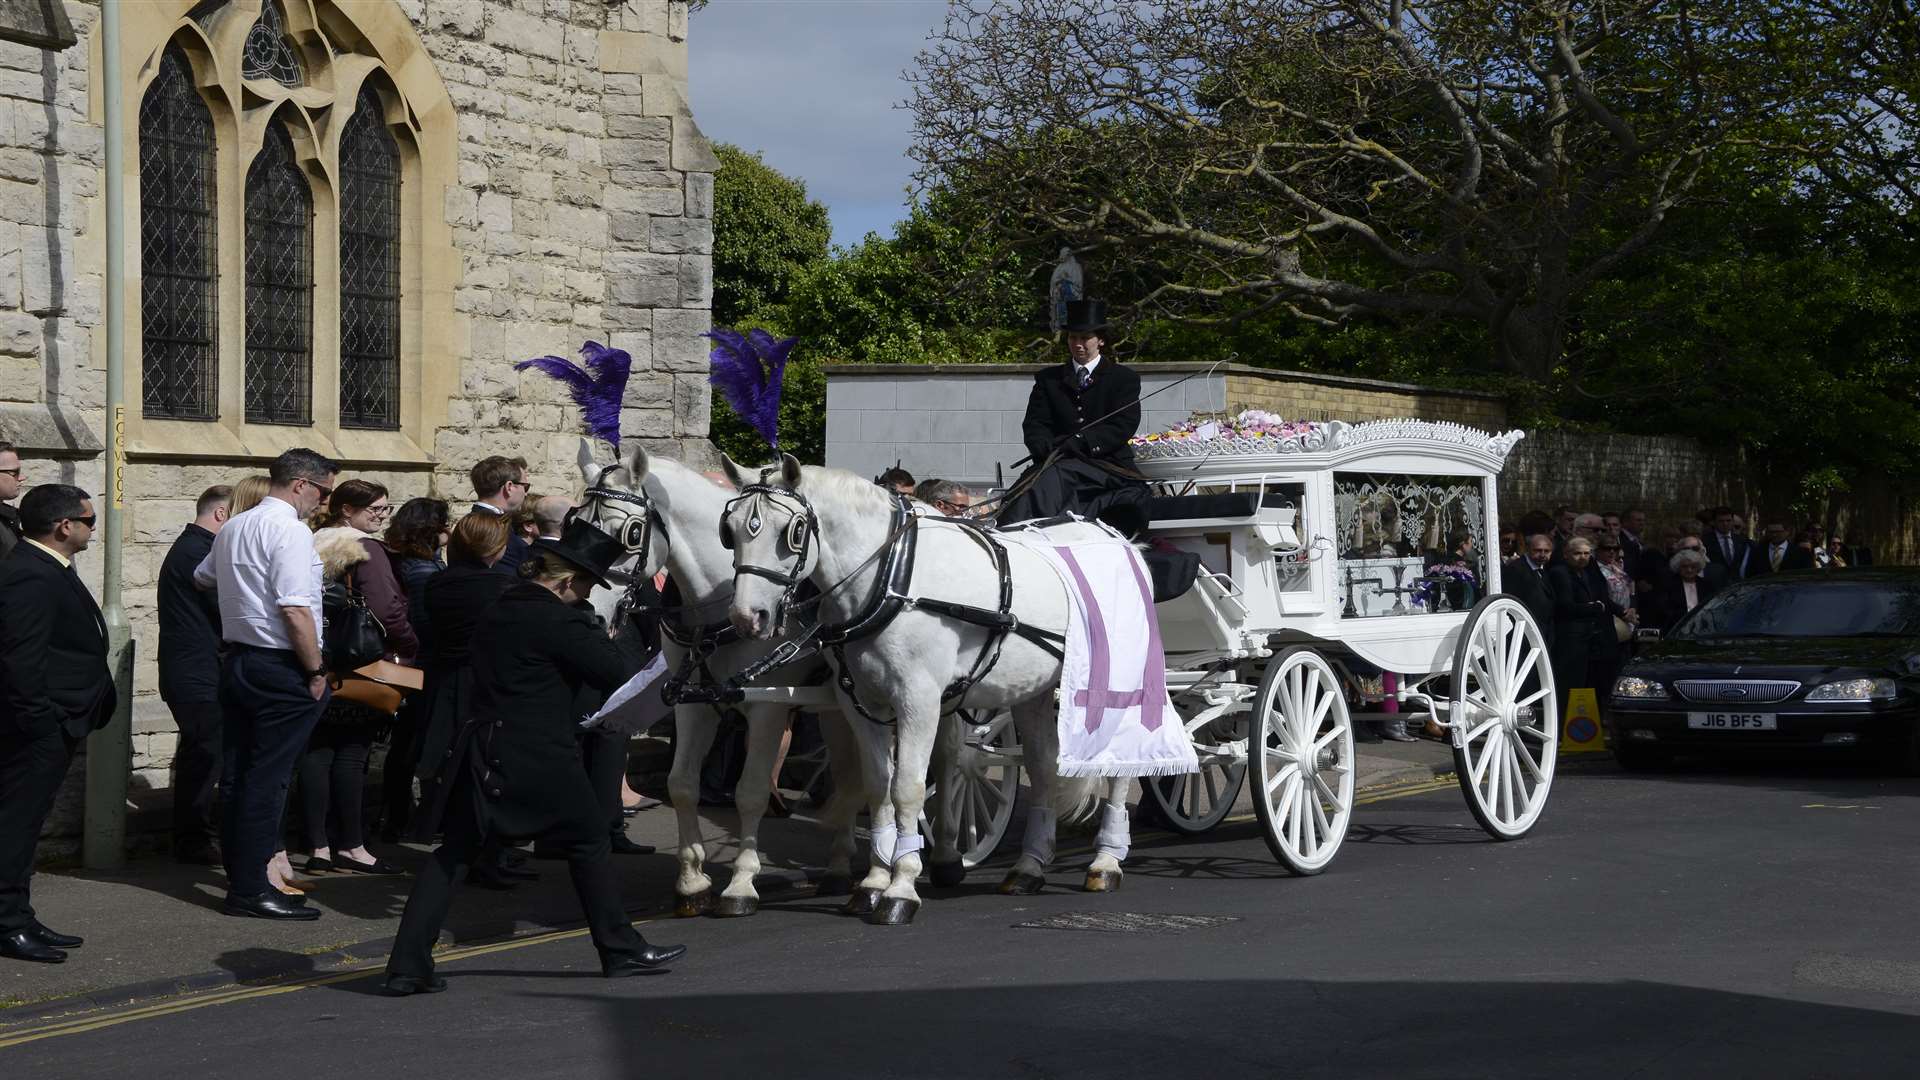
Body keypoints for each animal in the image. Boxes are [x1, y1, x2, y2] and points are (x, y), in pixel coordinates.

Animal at [572, 441, 879, 910]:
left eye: (631, 533)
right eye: (573, 525)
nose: (588, 613)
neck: (718, 601)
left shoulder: (768, 705)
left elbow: (750, 790)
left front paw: (741, 882)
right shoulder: (691, 701)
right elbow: (682, 783)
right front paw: (692, 880)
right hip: (837, 706)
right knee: (850, 773)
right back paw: (841, 866)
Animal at [725, 449, 1128, 922]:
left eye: (794, 531)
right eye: (730, 529)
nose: (748, 618)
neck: (891, 577)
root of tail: (1115, 536)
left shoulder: (919, 701)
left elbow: (908, 790)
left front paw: (901, 888)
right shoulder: (860, 702)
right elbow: (878, 787)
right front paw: (873, 883)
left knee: (1121, 764)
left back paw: (1106, 861)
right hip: (1035, 690)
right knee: (1044, 764)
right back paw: (1029, 868)